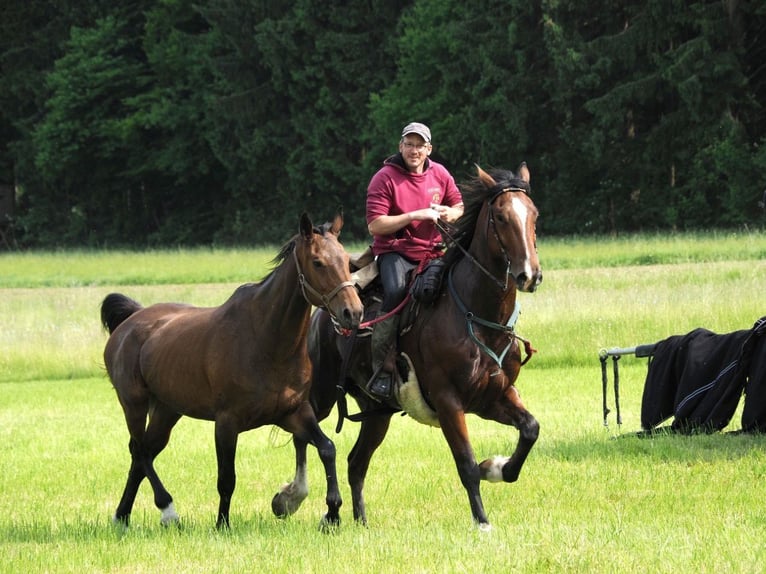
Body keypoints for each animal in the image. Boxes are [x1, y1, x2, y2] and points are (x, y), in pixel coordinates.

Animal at [100, 212, 363, 529]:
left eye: (348, 261)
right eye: (317, 262)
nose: (353, 313)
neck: (266, 340)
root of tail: (131, 320)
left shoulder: (294, 413)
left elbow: (327, 448)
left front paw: (332, 512)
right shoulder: (227, 422)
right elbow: (227, 478)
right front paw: (222, 524)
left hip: (166, 411)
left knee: (143, 454)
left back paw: (123, 515)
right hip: (134, 403)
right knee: (140, 451)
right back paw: (167, 510)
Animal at [271, 164, 542, 531]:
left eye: (533, 215)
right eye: (501, 217)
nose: (530, 275)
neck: (477, 318)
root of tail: (322, 316)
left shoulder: (495, 396)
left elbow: (530, 430)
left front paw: (495, 467)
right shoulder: (448, 402)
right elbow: (466, 465)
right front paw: (482, 521)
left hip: (377, 413)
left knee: (356, 462)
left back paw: (360, 520)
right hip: (321, 394)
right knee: (304, 433)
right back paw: (295, 498)